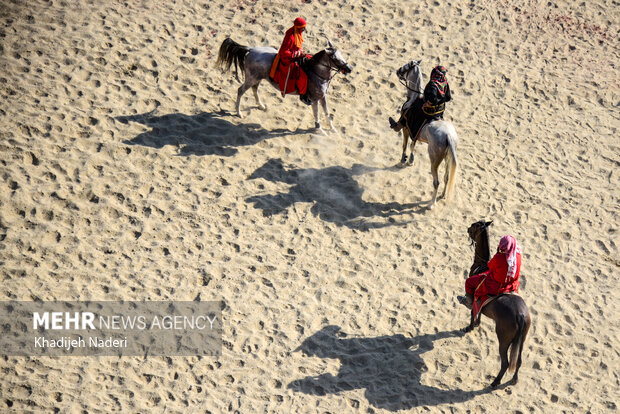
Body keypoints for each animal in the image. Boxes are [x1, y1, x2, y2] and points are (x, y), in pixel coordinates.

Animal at [216, 37, 352, 131]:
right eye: (335, 58)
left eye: (342, 54)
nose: (349, 68)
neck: (317, 72)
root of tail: (251, 49)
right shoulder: (315, 98)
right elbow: (317, 113)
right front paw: (319, 129)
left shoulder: (323, 96)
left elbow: (327, 112)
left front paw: (333, 129)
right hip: (251, 78)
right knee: (240, 90)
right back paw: (239, 113)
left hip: (257, 78)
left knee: (255, 89)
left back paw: (260, 105)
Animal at [462, 220, 532, 388]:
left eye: (474, 226)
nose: (467, 229)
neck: (482, 264)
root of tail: (521, 315)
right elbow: (478, 312)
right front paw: (477, 324)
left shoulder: (474, 295)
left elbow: (472, 311)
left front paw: (470, 327)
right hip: (521, 339)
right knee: (518, 361)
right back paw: (513, 380)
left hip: (504, 339)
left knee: (505, 362)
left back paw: (495, 382)